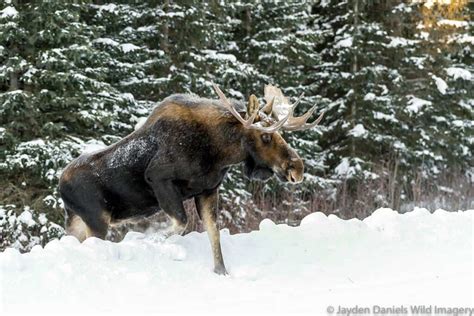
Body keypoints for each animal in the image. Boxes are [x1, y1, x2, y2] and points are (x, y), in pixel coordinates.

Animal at [59, 84, 322, 274]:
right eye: (265, 136)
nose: (296, 168)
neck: (217, 152)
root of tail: (60, 185)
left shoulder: (208, 190)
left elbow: (213, 233)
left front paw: (221, 272)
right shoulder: (159, 179)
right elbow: (180, 223)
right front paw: (150, 240)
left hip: (77, 222)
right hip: (97, 220)